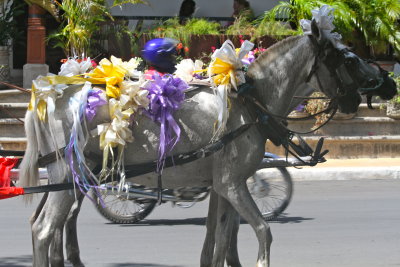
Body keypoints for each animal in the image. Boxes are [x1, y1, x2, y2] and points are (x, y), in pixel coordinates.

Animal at [19, 20, 396, 267]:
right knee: (43, 229)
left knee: (47, 224)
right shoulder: (231, 183)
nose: (390, 83)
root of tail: (50, 94)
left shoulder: (223, 186)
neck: (249, 101)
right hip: (68, 174)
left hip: (68, 180)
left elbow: (219, 243)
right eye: (348, 59)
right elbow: (262, 231)